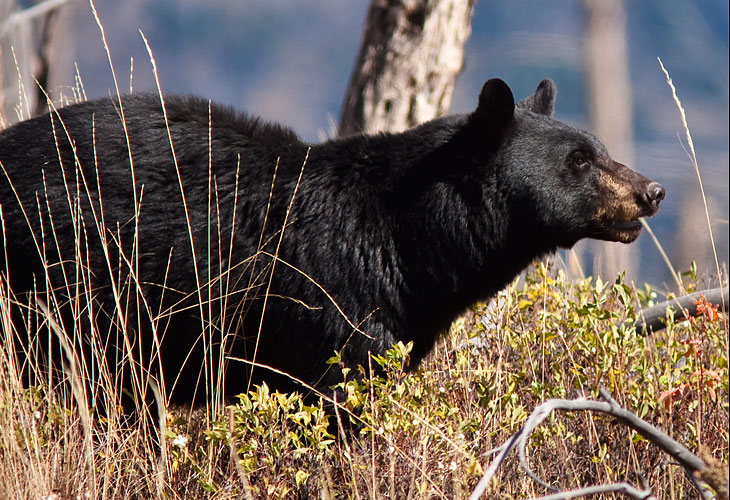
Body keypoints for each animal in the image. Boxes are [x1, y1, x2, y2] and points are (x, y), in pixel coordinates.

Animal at [0, 79, 660, 406]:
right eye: (579, 161)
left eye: (600, 147)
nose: (650, 192)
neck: (406, 243)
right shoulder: (331, 311)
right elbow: (337, 400)